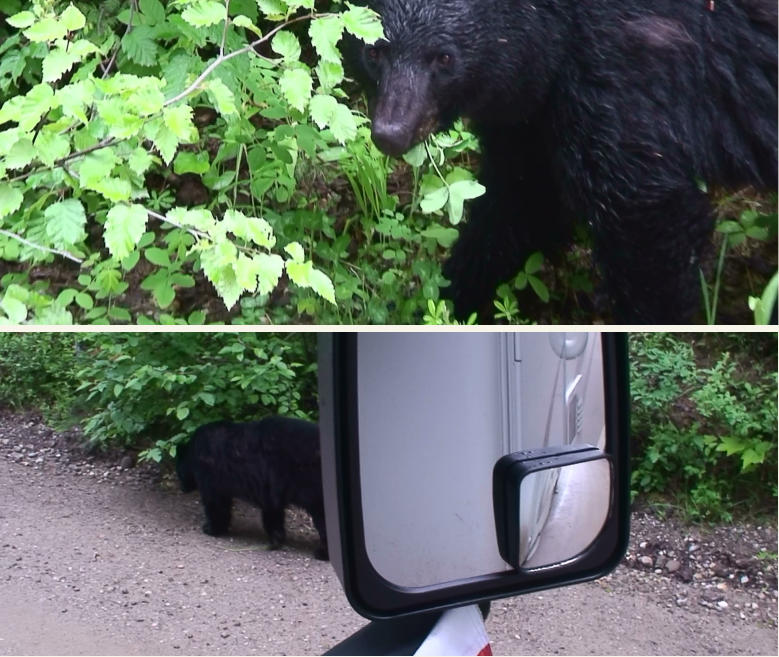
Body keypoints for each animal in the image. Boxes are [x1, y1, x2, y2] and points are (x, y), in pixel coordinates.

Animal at [177, 416, 330, 560]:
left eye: (179, 473)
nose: (182, 488)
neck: (193, 451)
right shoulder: (270, 487)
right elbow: (272, 510)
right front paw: (276, 539)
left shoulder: (211, 473)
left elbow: (216, 503)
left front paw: (211, 528)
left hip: (312, 486)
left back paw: (322, 553)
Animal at [352, 0, 772, 322]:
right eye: (373, 51)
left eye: (444, 57)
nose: (391, 132)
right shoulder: (532, 110)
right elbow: (522, 200)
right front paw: (449, 299)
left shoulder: (618, 65)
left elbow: (643, 209)